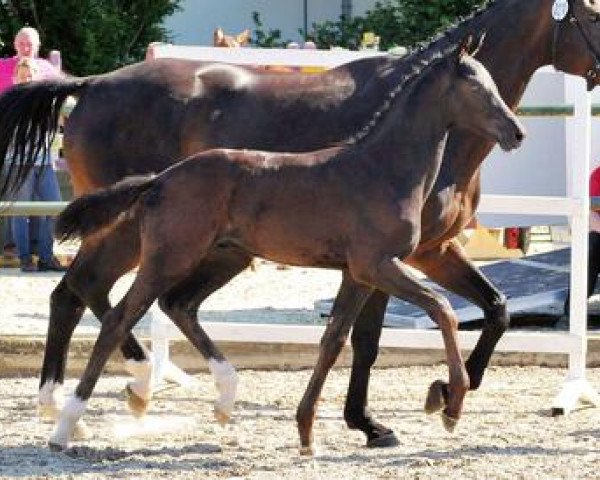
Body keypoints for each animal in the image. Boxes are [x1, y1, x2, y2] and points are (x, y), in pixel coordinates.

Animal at [0, 0, 596, 450]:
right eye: (590, 14)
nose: (517, 131)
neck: (382, 162)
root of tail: (90, 84)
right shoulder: (391, 260)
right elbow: (409, 325)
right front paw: (421, 408)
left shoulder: (402, 258)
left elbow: (481, 311)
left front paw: (401, 406)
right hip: (154, 244)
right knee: (101, 298)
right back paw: (90, 407)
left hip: (217, 252)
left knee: (135, 299)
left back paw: (168, 395)